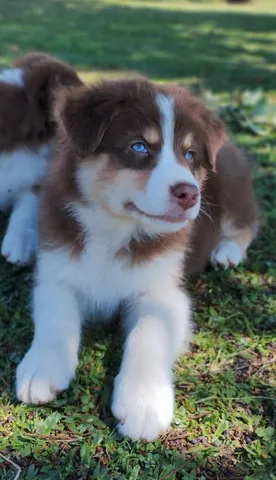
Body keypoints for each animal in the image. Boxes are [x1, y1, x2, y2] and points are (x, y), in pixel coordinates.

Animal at [16, 79, 258, 442]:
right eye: (139, 146)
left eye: (189, 154)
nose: (189, 194)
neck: (115, 229)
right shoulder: (57, 270)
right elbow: (55, 318)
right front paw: (41, 368)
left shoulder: (164, 291)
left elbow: (148, 333)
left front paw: (144, 402)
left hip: (231, 186)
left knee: (245, 224)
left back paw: (226, 252)